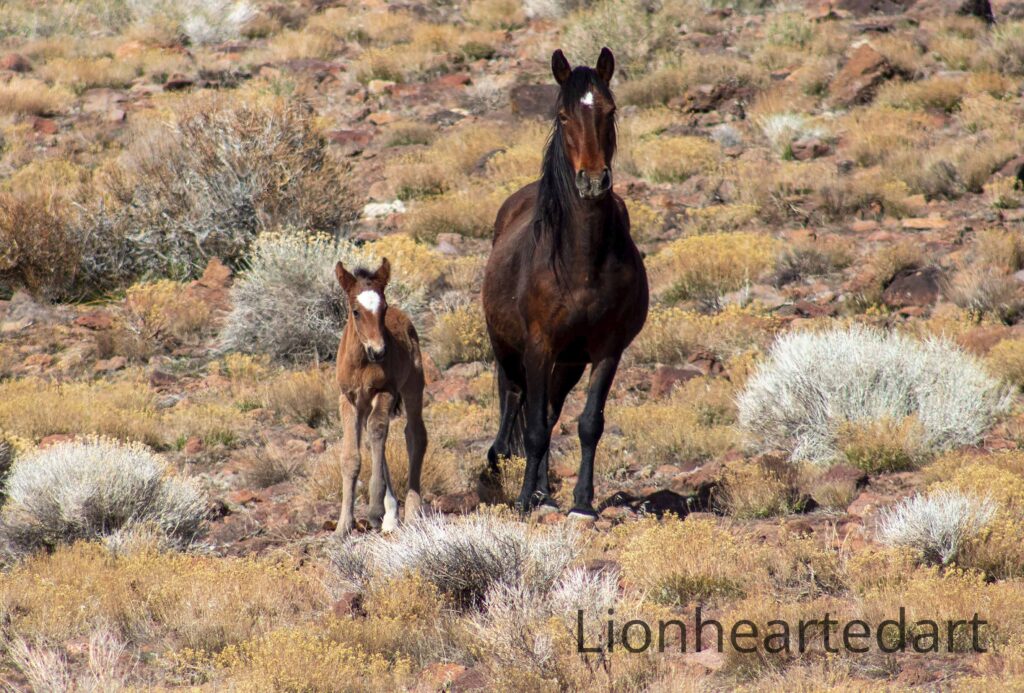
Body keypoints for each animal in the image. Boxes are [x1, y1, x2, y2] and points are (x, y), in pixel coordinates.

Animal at [334, 257, 427, 535]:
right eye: (355, 311)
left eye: (383, 308)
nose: (379, 351)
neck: (362, 363)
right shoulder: (348, 399)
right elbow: (351, 457)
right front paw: (343, 526)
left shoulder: (385, 391)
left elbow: (377, 430)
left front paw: (375, 510)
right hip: (366, 403)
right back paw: (391, 516)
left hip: (413, 385)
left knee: (415, 435)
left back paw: (412, 513)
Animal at [481, 47, 649, 518]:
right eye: (562, 116)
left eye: (610, 110)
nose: (592, 181)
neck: (581, 262)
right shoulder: (539, 346)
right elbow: (535, 429)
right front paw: (523, 501)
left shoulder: (607, 349)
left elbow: (588, 423)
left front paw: (582, 502)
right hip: (510, 352)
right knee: (517, 403)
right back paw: (517, 478)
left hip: (569, 362)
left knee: (552, 410)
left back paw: (544, 492)